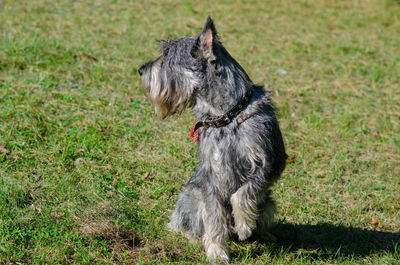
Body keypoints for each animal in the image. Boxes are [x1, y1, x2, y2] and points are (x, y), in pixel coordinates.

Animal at [139, 16, 286, 262]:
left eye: (168, 55)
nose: (140, 70)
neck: (227, 116)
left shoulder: (268, 161)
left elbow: (244, 193)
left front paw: (244, 224)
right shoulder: (211, 178)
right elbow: (215, 219)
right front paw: (217, 253)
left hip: (268, 202)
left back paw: (265, 234)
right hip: (191, 197)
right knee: (185, 224)